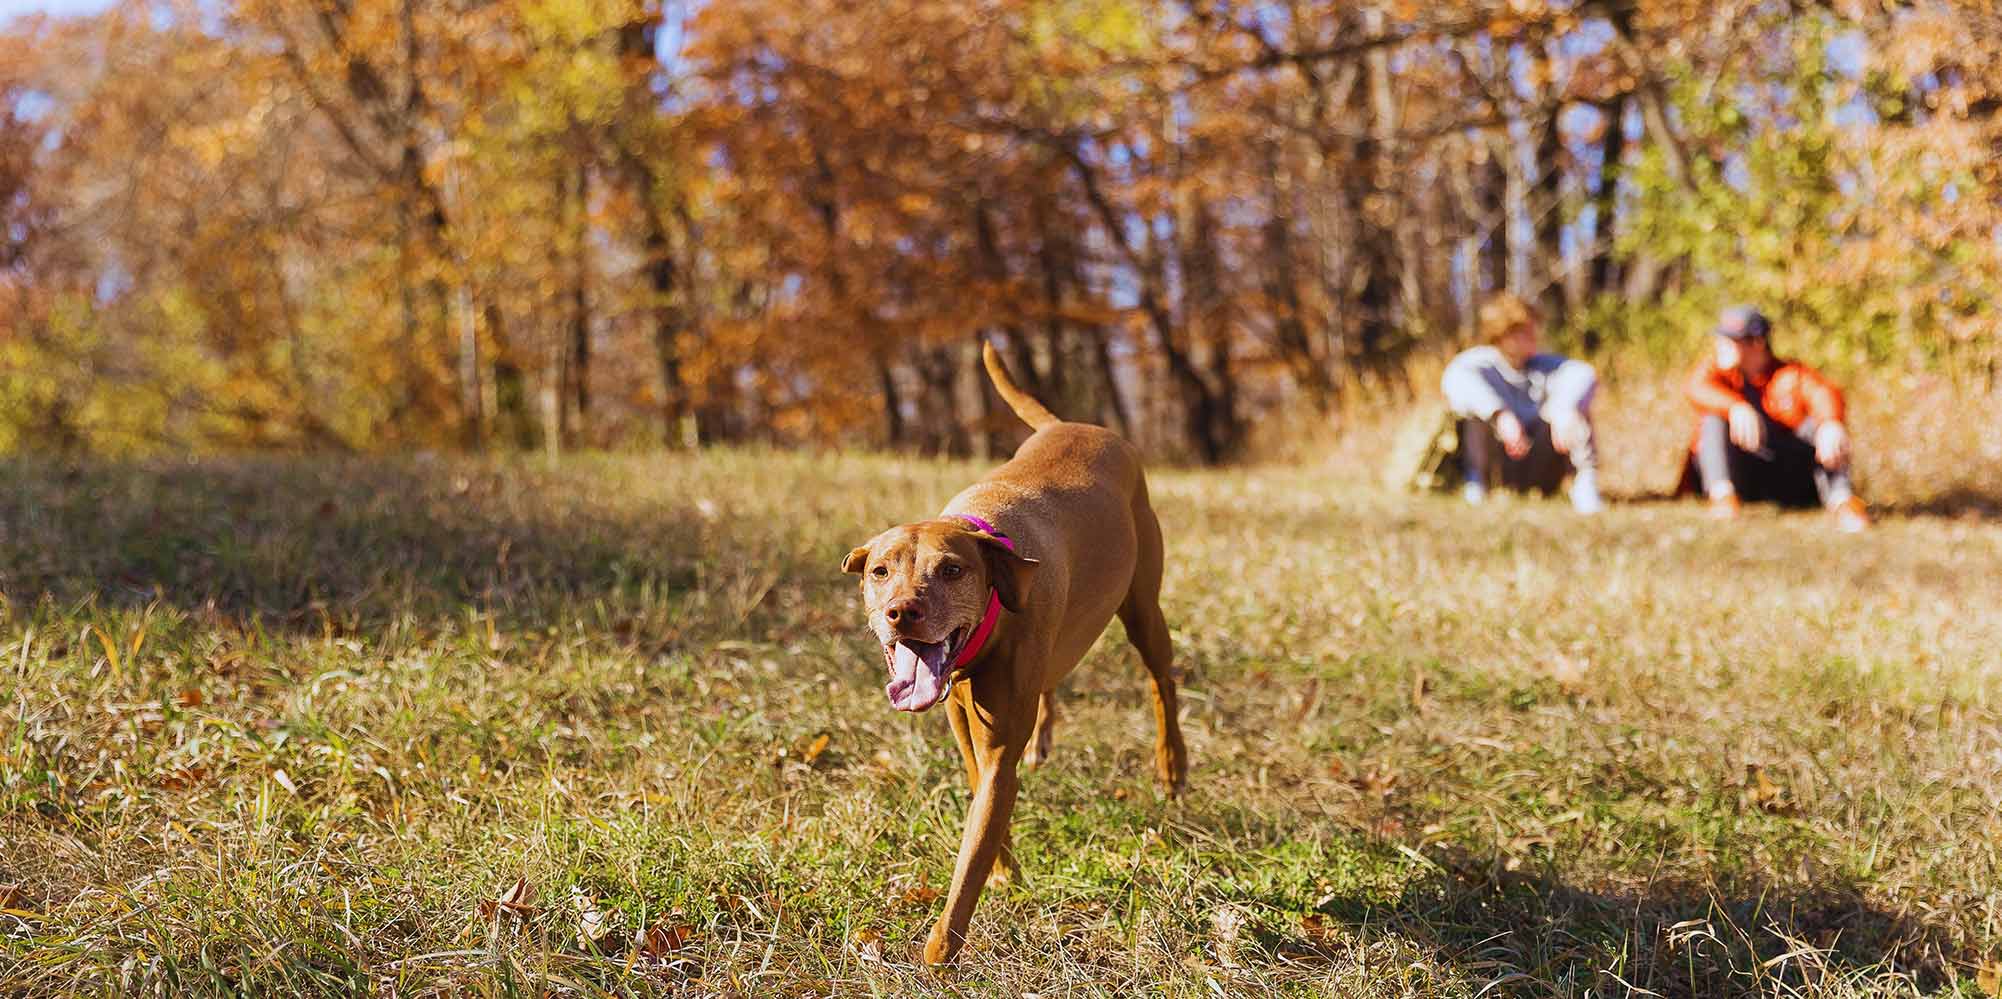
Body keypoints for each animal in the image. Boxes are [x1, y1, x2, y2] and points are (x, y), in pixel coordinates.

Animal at [844, 346, 1185, 968]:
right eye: (880, 571)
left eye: (952, 570)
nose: (901, 612)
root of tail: (1070, 424)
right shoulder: (963, 721)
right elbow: (981, 803)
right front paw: (1005, 872)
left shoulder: (999, 749)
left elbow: (972, 851)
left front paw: (941, 948)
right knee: (1054, 677)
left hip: (1144, 611)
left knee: (1162, 683)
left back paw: (1172, 765)